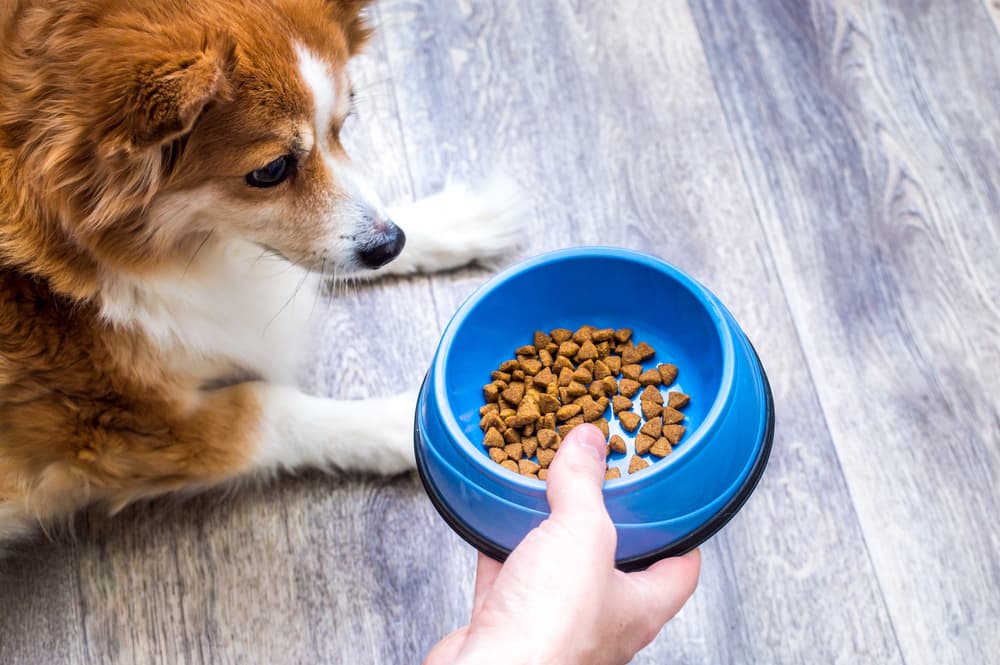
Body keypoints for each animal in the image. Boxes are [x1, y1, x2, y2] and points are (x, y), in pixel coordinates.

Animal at [1, 0, 524, 548]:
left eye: (343, 126)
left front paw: (457, 220)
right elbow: (267, 405)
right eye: (272, 170)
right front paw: (401, 421)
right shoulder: (112, 430)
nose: (389, 245)